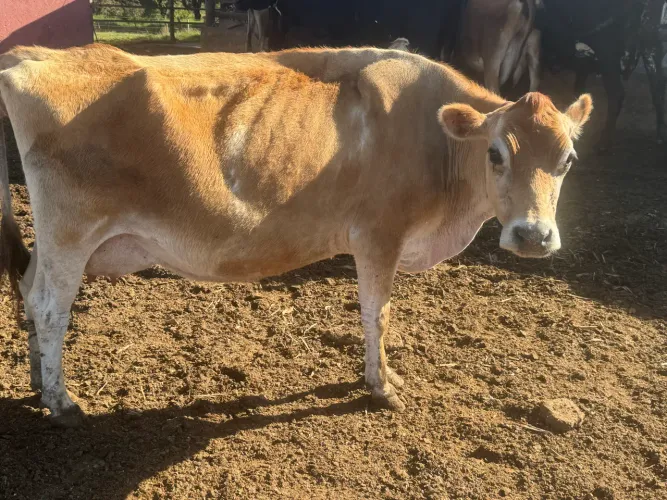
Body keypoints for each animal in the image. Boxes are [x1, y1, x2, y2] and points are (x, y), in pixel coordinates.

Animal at [0, 44, 592, 427]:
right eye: (496, 153)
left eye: (568, 160)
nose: (533, 235)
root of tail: (32, 54)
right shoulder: (379, 234)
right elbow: (378, 314)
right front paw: (381, 386)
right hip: (71, 232)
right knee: (50, 307)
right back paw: (63, 403)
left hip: (53, 241)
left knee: (28, 292)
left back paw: (38, 384)